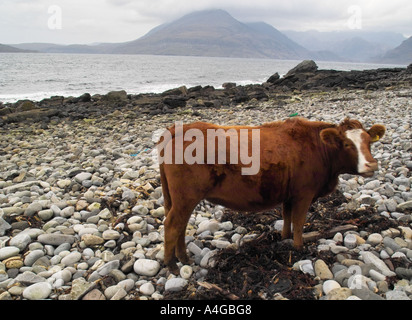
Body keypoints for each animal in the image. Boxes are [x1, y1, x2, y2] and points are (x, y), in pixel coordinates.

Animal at [158, 117, 386, 272]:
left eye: (369, 141)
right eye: (347, 144)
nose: (371, 165)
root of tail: (177, 129)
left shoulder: (289, 194)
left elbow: (287, 217)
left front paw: (284, 238)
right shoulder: (304, 193)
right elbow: (299, 221)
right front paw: (298, 248)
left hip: (176, 198)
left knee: (180, 225)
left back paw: (183, 258)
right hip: (186, 197)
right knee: (172, 225)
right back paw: (171, 264)